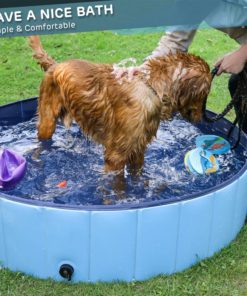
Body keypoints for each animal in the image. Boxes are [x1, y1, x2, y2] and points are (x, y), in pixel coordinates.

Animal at [28, 35, 210, 172]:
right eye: (206, 93)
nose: (202, 119)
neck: (152, 87)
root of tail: (55, 65)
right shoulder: (115, 156)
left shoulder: (138, 151)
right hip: (47, 121)